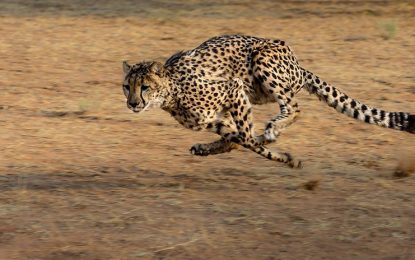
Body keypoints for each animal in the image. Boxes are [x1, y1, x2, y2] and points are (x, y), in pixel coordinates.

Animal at [122, 34, 414, 168]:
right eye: (127, 87)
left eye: (145, 87)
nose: (133, 104)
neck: (172, 91)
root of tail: (297, 63)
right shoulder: (215, 118)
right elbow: (238, 139)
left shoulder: (233, 88)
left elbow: (246, 139)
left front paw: (285, 157)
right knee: (244, 135)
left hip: (262, 61)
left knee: (294, 108)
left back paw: (273, 128)